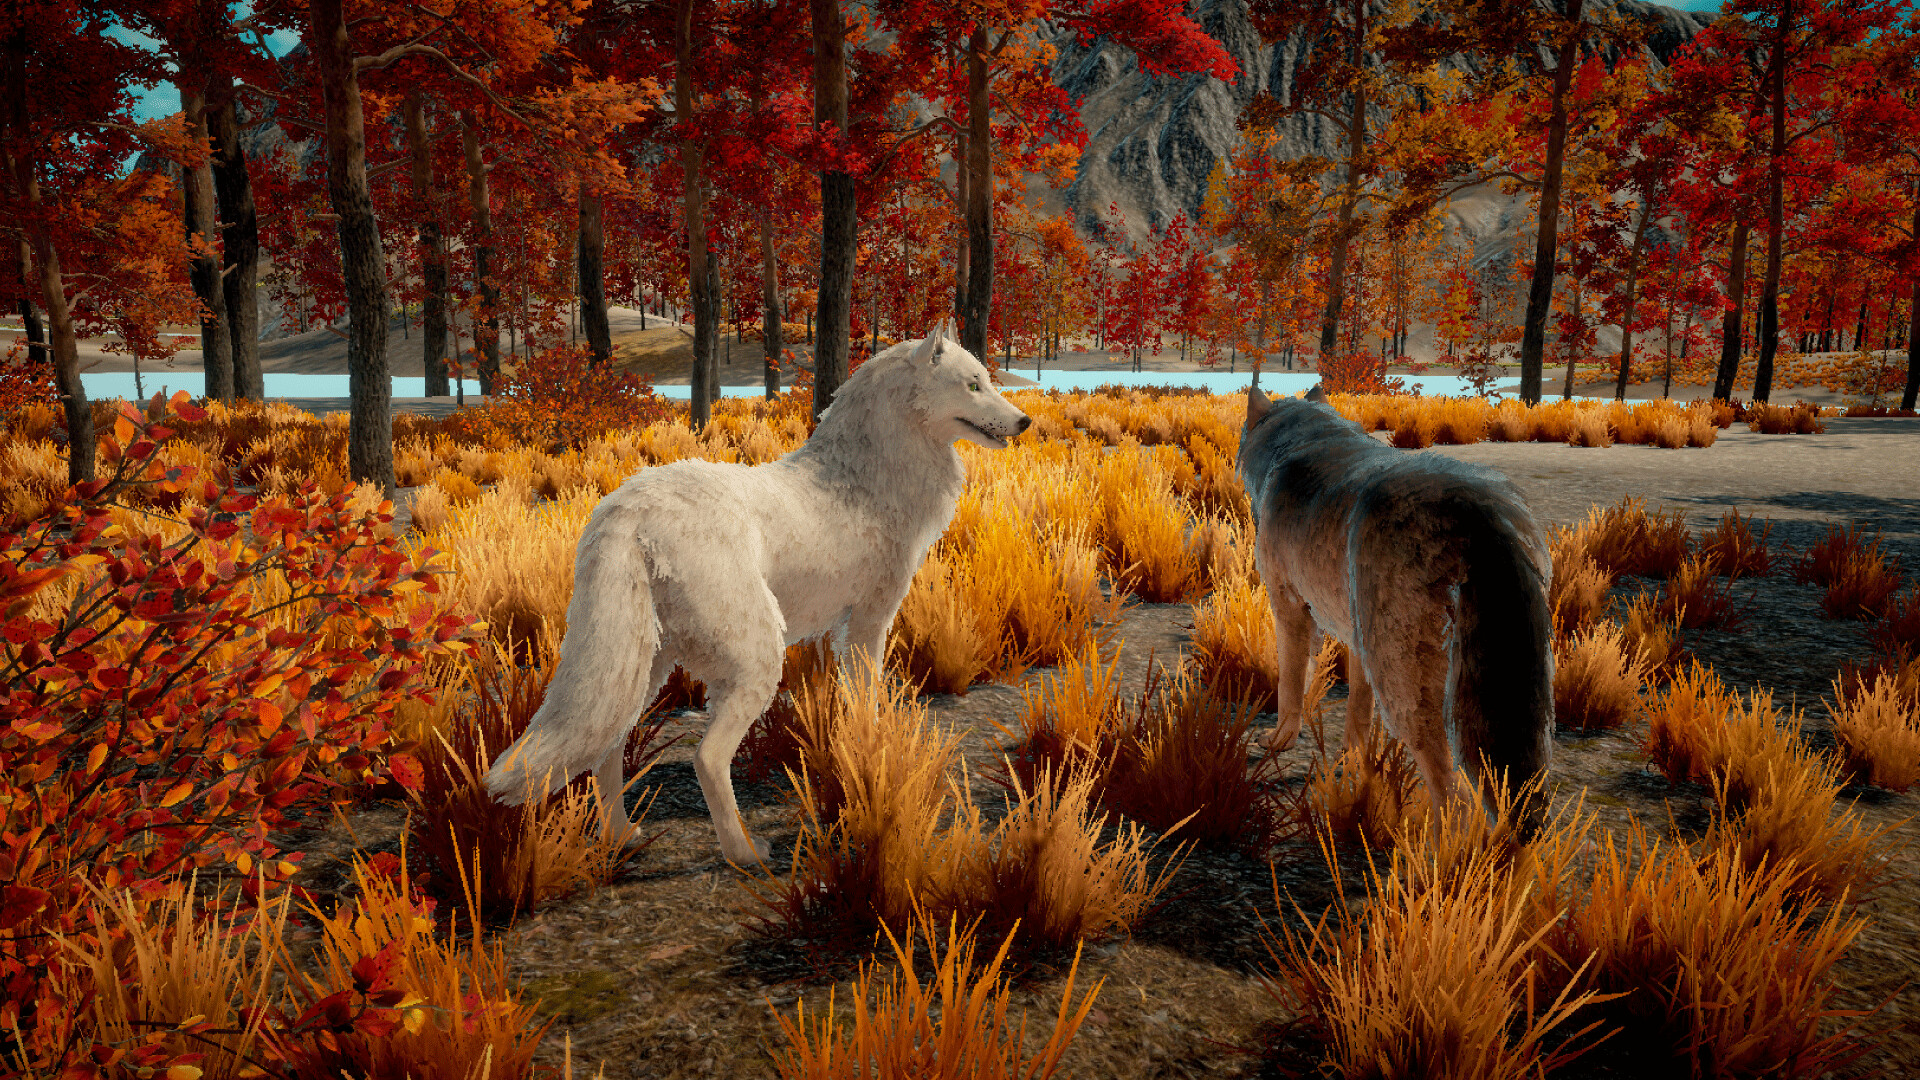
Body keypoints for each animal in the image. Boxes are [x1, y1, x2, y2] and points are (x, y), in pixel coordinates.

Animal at [482, 322, 1030, 865]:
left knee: (608, 747)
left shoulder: (842, 627)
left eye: (987, 379)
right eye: (973, 385)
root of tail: (626, 507)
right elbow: (868, 696)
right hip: (754, 659)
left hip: (645, 665)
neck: (864, 480)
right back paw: (744, 853)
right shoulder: (871, 620)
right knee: (705, 757)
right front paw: (869, 750)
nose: (1024, 422)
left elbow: (846, 699)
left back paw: (621, 837)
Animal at [1239, 385, 1555, 828]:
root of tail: (1477, 519)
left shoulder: (1290, 609)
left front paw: (1279, 741)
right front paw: (1351, 761)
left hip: (1408, 686)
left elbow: (1290, 685)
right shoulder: (1359, 640)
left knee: (1454, 796)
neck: (1300, 440)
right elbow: (1358, 709)